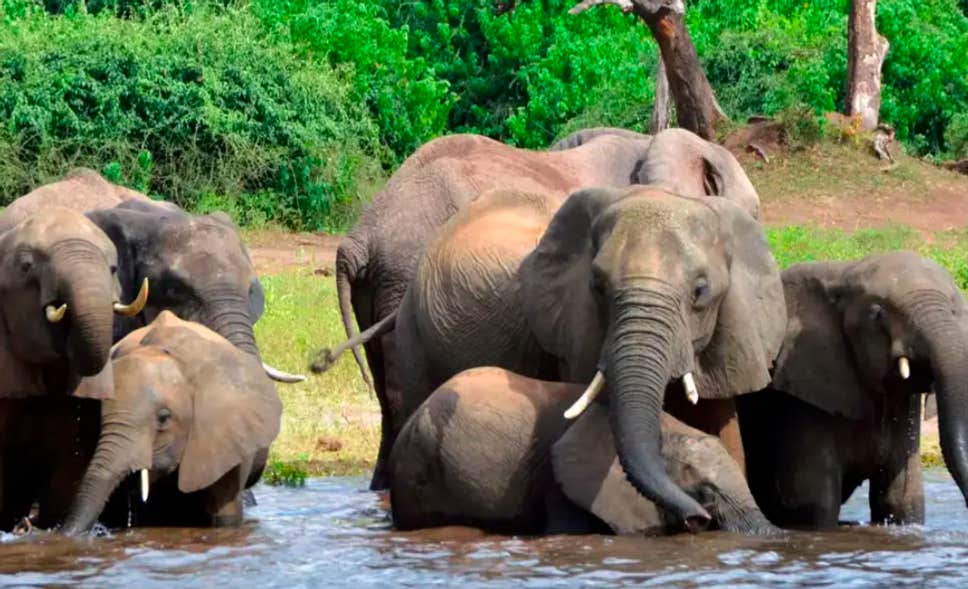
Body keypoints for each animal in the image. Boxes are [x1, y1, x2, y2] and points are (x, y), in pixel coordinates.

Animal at [738, 251, 968, 529]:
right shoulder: (801, 398)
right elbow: (814, 502)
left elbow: (901, 499)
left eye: (954, 310)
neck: (844, 272)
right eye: (877, 314)